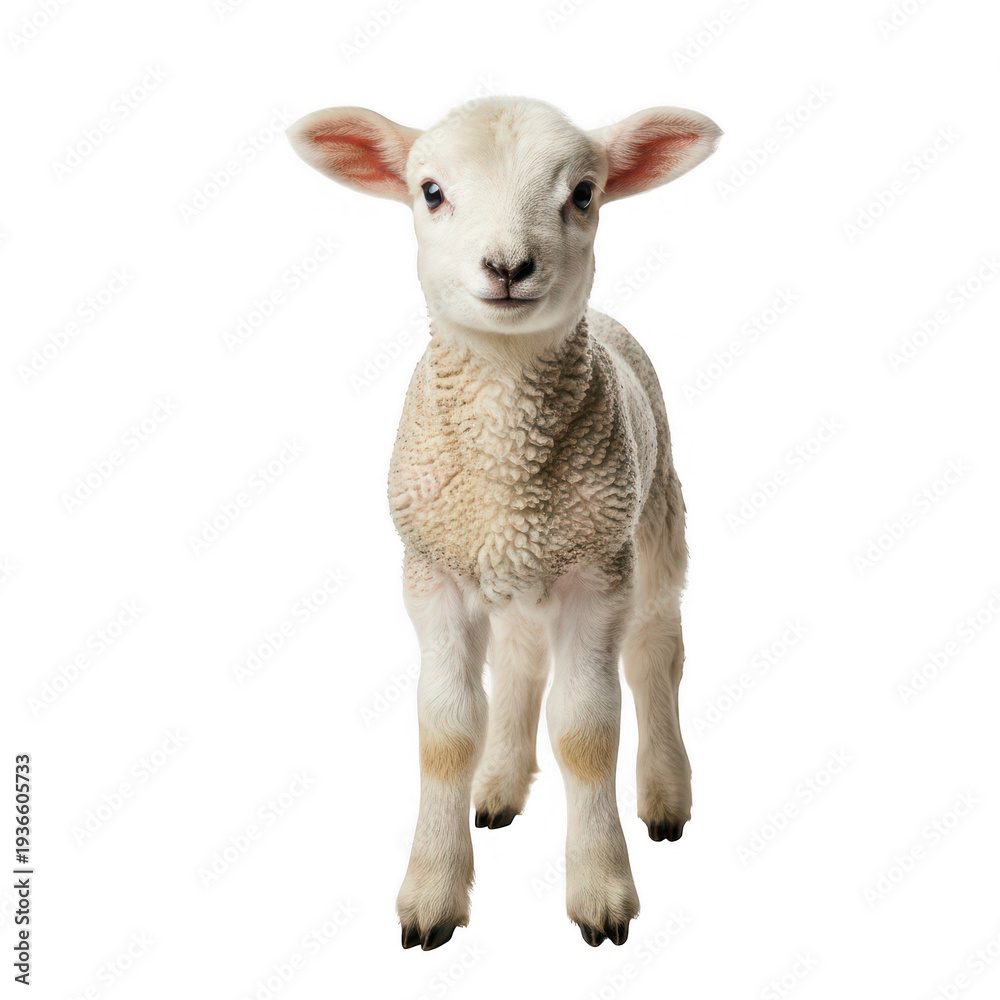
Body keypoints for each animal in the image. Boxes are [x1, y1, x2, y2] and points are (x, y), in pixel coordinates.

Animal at [288, 95, 722, 951]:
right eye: (430, 191)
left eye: (584, 193)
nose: (509, 267)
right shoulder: (433, 570)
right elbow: (446, 731)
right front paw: (431, 891)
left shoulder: (598, 572)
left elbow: (587, 732)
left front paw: (601, 891)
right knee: (520, 662)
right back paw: (498, 784)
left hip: (655, 521)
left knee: (657, 652)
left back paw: (664, 794)